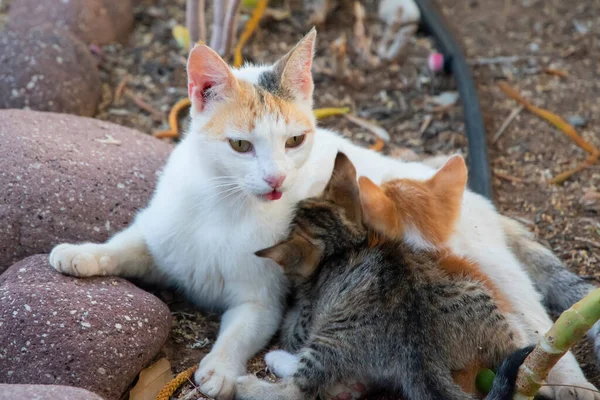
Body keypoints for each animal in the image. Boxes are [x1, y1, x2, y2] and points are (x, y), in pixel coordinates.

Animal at [237, 153, 532, 400]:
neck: (345, 244)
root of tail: (417, 350)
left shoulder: (305, 319)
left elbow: (289, 326)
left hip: (328, 338)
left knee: (297, 389)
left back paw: (257, 377)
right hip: (482, 299)